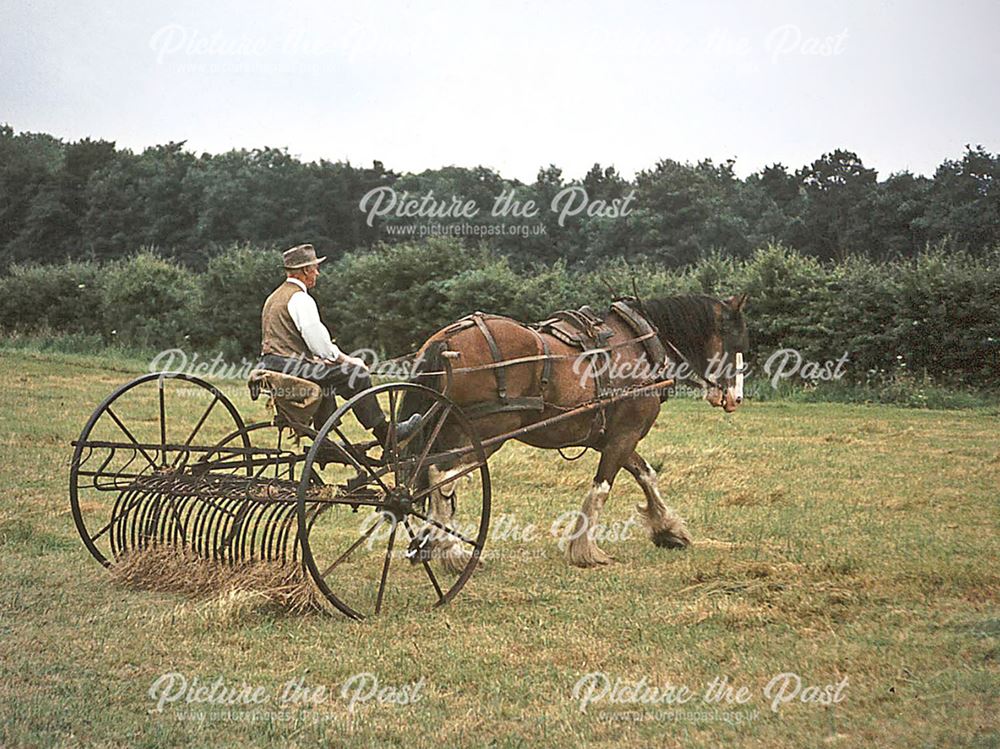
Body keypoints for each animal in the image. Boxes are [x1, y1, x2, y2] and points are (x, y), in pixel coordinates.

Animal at [394, 292, 748, 568]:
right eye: (735, 341)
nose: (736, 398)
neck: (639, 345)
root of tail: (444, 341)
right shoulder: (624, 436)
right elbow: (602, 489)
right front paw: (586, 550)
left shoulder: (613, 436)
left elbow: (647, 475)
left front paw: (668, 530)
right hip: (488, 431)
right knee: (441, 474)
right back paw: (451, 551)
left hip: (449, 429)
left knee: (431, 474)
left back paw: (432, 542)